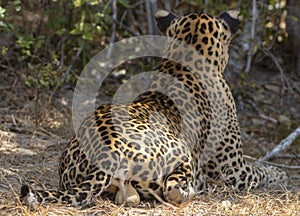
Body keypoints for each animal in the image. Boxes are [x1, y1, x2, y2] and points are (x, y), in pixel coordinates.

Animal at [19, 8, 288, 209]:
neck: (184, 60)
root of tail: (106, 152)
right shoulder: (234, 169)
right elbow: (261, 171)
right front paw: (279, 173)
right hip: (180, 152)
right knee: (173, 188)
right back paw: (191, 191)